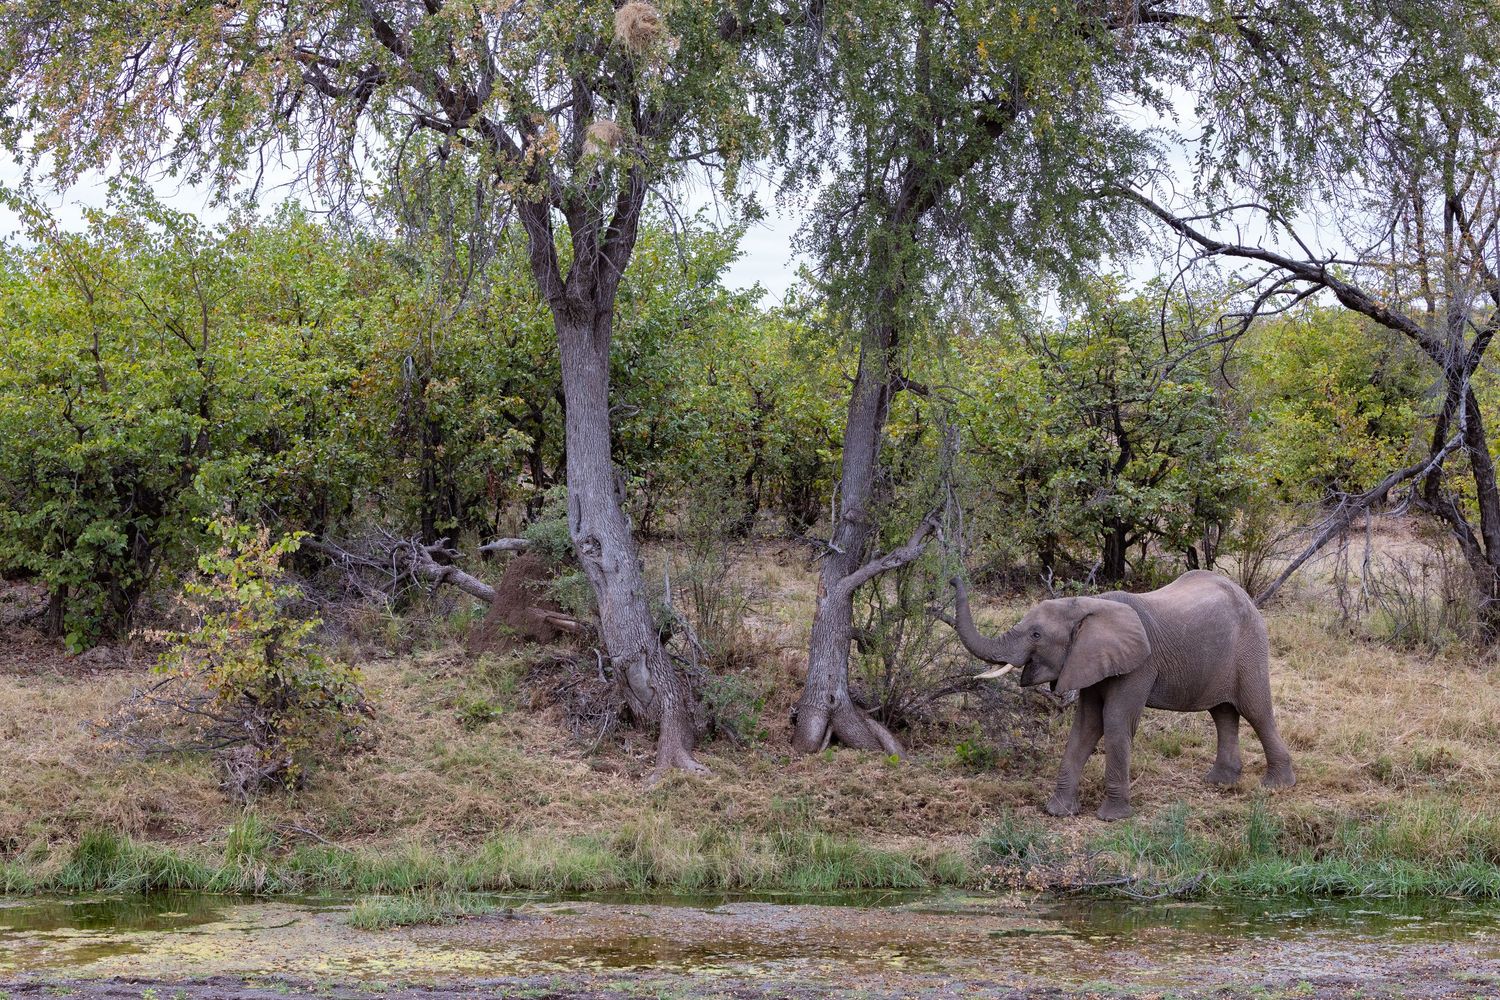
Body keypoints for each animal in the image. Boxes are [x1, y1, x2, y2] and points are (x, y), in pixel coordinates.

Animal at [942, 569, 1295, 821]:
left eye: (1036, 635)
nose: (951, 578)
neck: (1088, 604)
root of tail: (1245, 595)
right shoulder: (1088, 661)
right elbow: (1086, 725)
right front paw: (1057, 811)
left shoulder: (1138, 665)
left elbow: (1113, 722)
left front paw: (1112, 818)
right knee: (1222, 711)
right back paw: (1220, 782)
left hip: (1251, 645)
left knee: (1256, 710)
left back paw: (1277, 784)